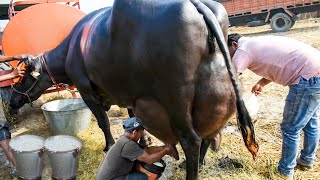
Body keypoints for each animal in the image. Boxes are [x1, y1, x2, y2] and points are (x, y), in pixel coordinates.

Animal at [10, 0, 258, 179]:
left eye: (21, 78)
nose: (11, 102)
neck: (73, 47)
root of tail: (198, 5)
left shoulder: (86, 91)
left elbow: (103, 122)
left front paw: (109, 146)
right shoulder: (129, 94)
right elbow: (133, 119)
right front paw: (143, 142)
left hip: (175, 100)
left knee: (191, 140)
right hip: (215, 94)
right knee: (209, 134)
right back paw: (199, 162)